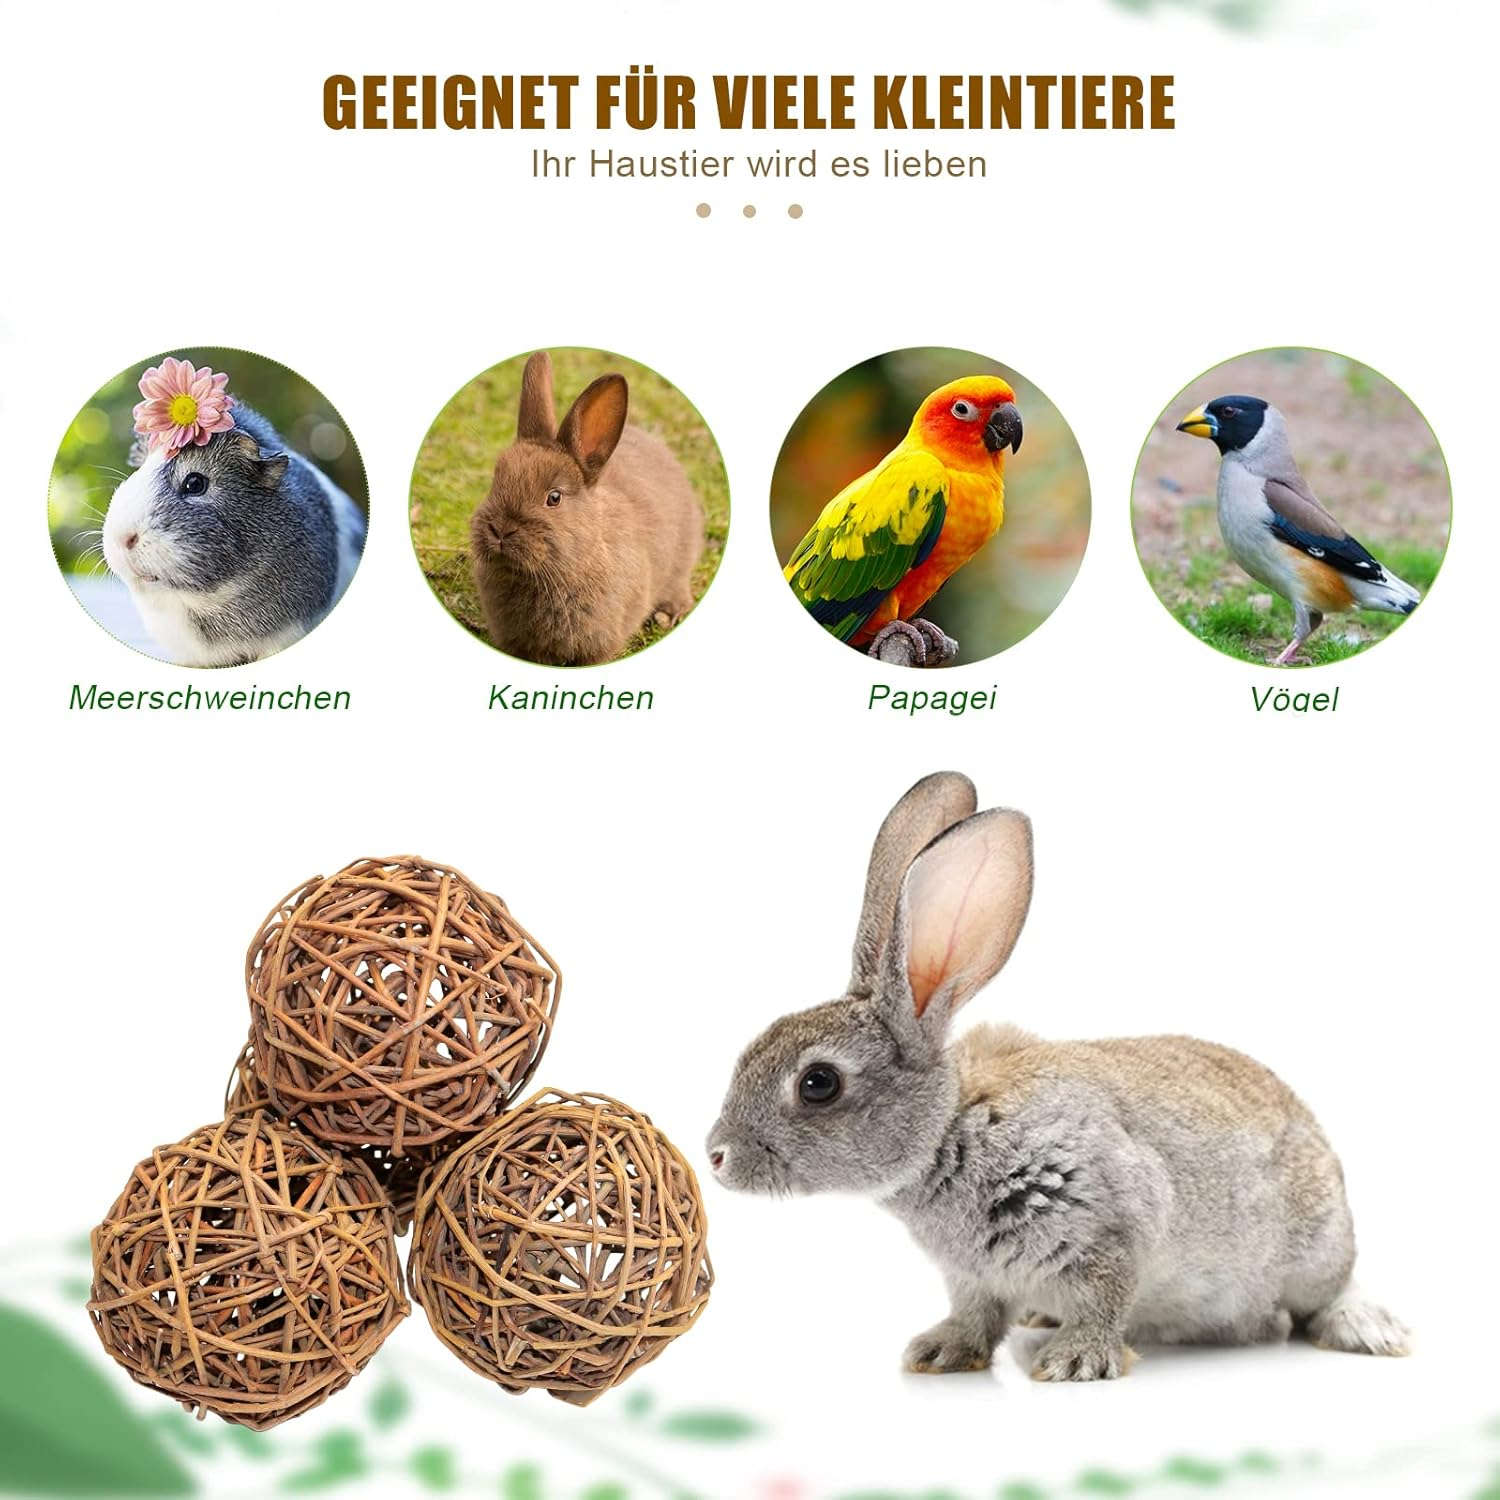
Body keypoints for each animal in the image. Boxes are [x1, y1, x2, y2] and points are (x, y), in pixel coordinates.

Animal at [707, 772, 1409, 1382]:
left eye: (818, 1083)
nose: (716, 1156)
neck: (950, 1130)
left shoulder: (1115, 1227)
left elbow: (1105, 1296)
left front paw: (1076, 1363)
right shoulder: (973, 1277)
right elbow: (976, 1314)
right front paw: (939, 1352)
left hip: (1316, 1247)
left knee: (1324, 1295)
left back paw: (1370, 1330)